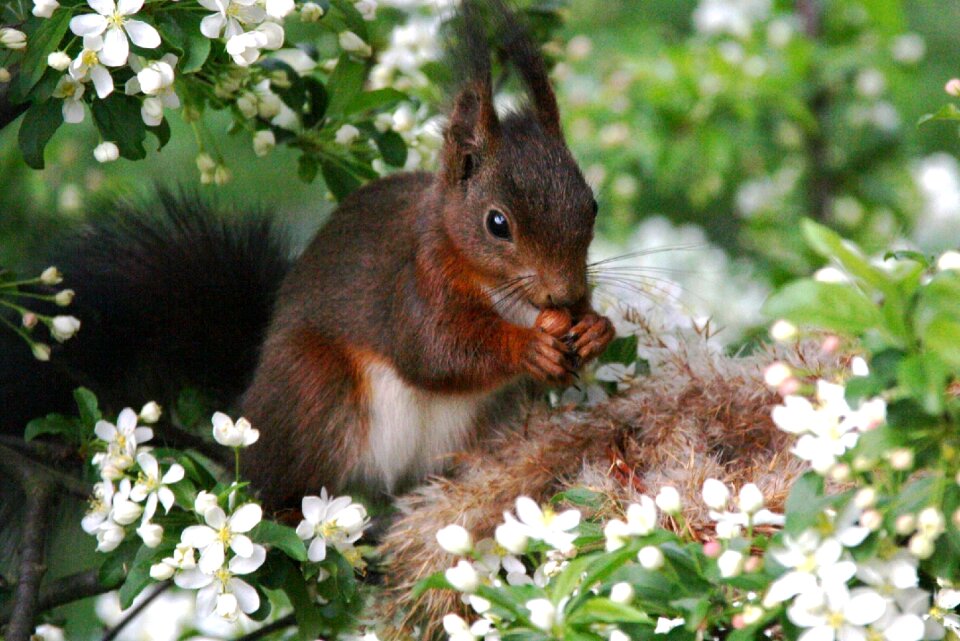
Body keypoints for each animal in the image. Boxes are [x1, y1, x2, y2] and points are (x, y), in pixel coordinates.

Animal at [240, 3, 616, 504]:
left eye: (592, 205)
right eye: (497, 223)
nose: (566, 293)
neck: (501, 290)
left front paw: (596, 328)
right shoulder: (417, 278)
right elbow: (433, 349)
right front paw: (528, 347)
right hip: (311, 388)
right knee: (275, 480)